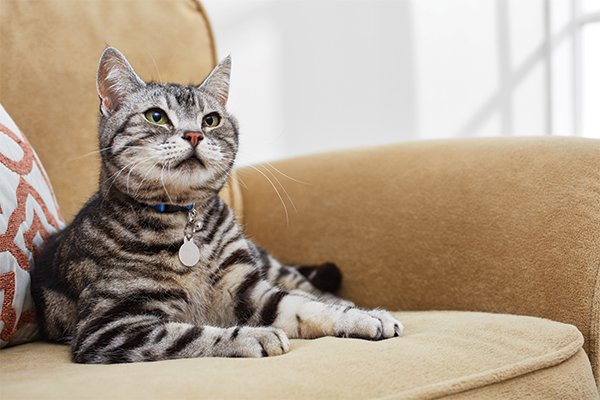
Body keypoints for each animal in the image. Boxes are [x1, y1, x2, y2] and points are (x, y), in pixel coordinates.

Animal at [29, 46, 404, 362]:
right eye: (156, 116)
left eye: (210, 120)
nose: (195, 134)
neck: (184, 223)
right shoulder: (108, 326)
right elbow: (188, 334)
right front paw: (254, 336)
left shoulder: (248, 289)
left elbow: (307, 306)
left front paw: (363, 316)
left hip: (268, 265)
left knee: (307, 286)